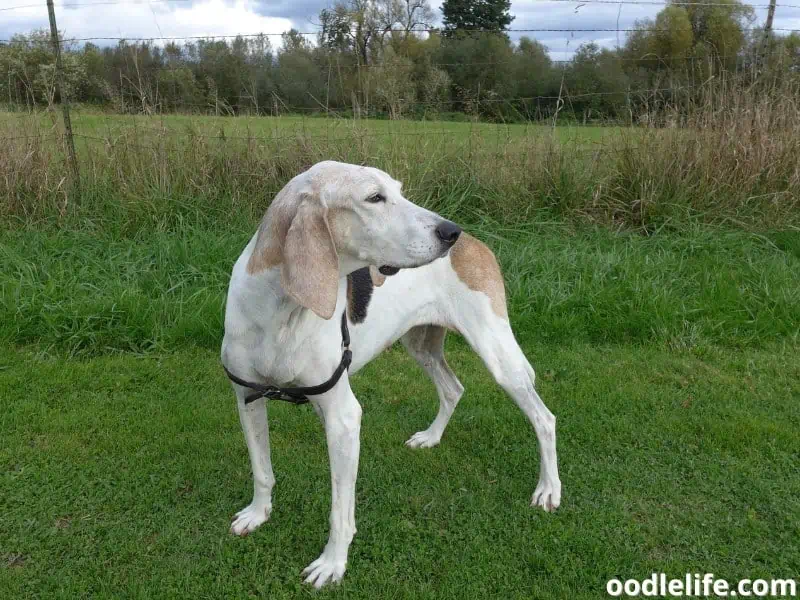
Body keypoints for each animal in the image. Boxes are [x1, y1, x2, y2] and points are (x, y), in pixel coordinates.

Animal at [217, 158, 556, 584]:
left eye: (398, 190)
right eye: (374, 197)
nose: (450, 232)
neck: (279, 309)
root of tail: (477, 243)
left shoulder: (343, 418)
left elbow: (340, 511)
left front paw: (333, 563)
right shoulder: (248, 399)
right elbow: (262, 470)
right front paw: (258, 514)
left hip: (498, 357)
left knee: (544, 419)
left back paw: (549, 489)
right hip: (421, 345)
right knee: (453, 388)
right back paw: (431, 437)